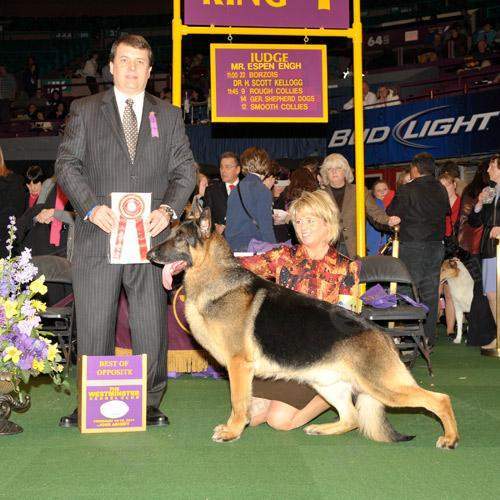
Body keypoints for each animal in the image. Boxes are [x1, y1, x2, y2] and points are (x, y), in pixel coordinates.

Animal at [146, 208, 458, 450]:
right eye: (171, 234)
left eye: (180, 238)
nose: (149, 253)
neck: (216, 278)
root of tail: (382, 334)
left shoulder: (239, 366)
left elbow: (238, 402)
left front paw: (232, 431)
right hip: (328, 385)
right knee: (351, 418)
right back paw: (321, 429)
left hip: (384, 387)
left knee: (440, 399)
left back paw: (450, 438)